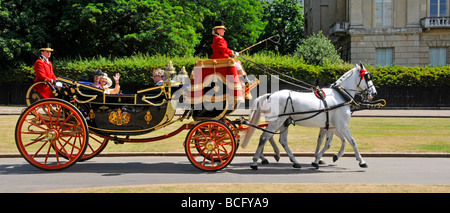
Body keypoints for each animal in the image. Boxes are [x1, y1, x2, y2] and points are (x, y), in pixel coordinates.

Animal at [243, 63, 376, 170]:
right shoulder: (341, 125)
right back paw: (255, 162)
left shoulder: (331, 127)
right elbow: (352, 141)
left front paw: (318, 159)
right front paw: (361, 161)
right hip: (277, 121)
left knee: (282, 140)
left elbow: (328, 143)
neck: (340, 96)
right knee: (264, 138)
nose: (374, 93)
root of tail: (270, 95)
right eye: (368, 77)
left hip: (284, 122)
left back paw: (294, 161)